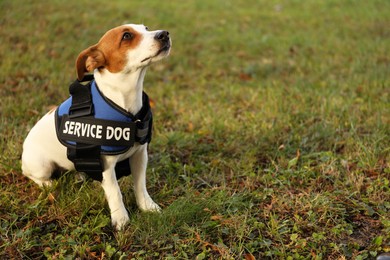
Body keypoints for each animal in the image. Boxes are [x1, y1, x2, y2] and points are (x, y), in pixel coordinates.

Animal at [21, 23, 171, 229]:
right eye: (126, 36)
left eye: (146, 28)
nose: (165, 34)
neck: (124, 100)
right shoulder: (105, 165)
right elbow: (115, 192)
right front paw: (121, 220)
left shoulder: (140, 155)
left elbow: (140, 185)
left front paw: (147, 207)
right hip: (40, 165)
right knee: (35, 176)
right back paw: (50, 185)